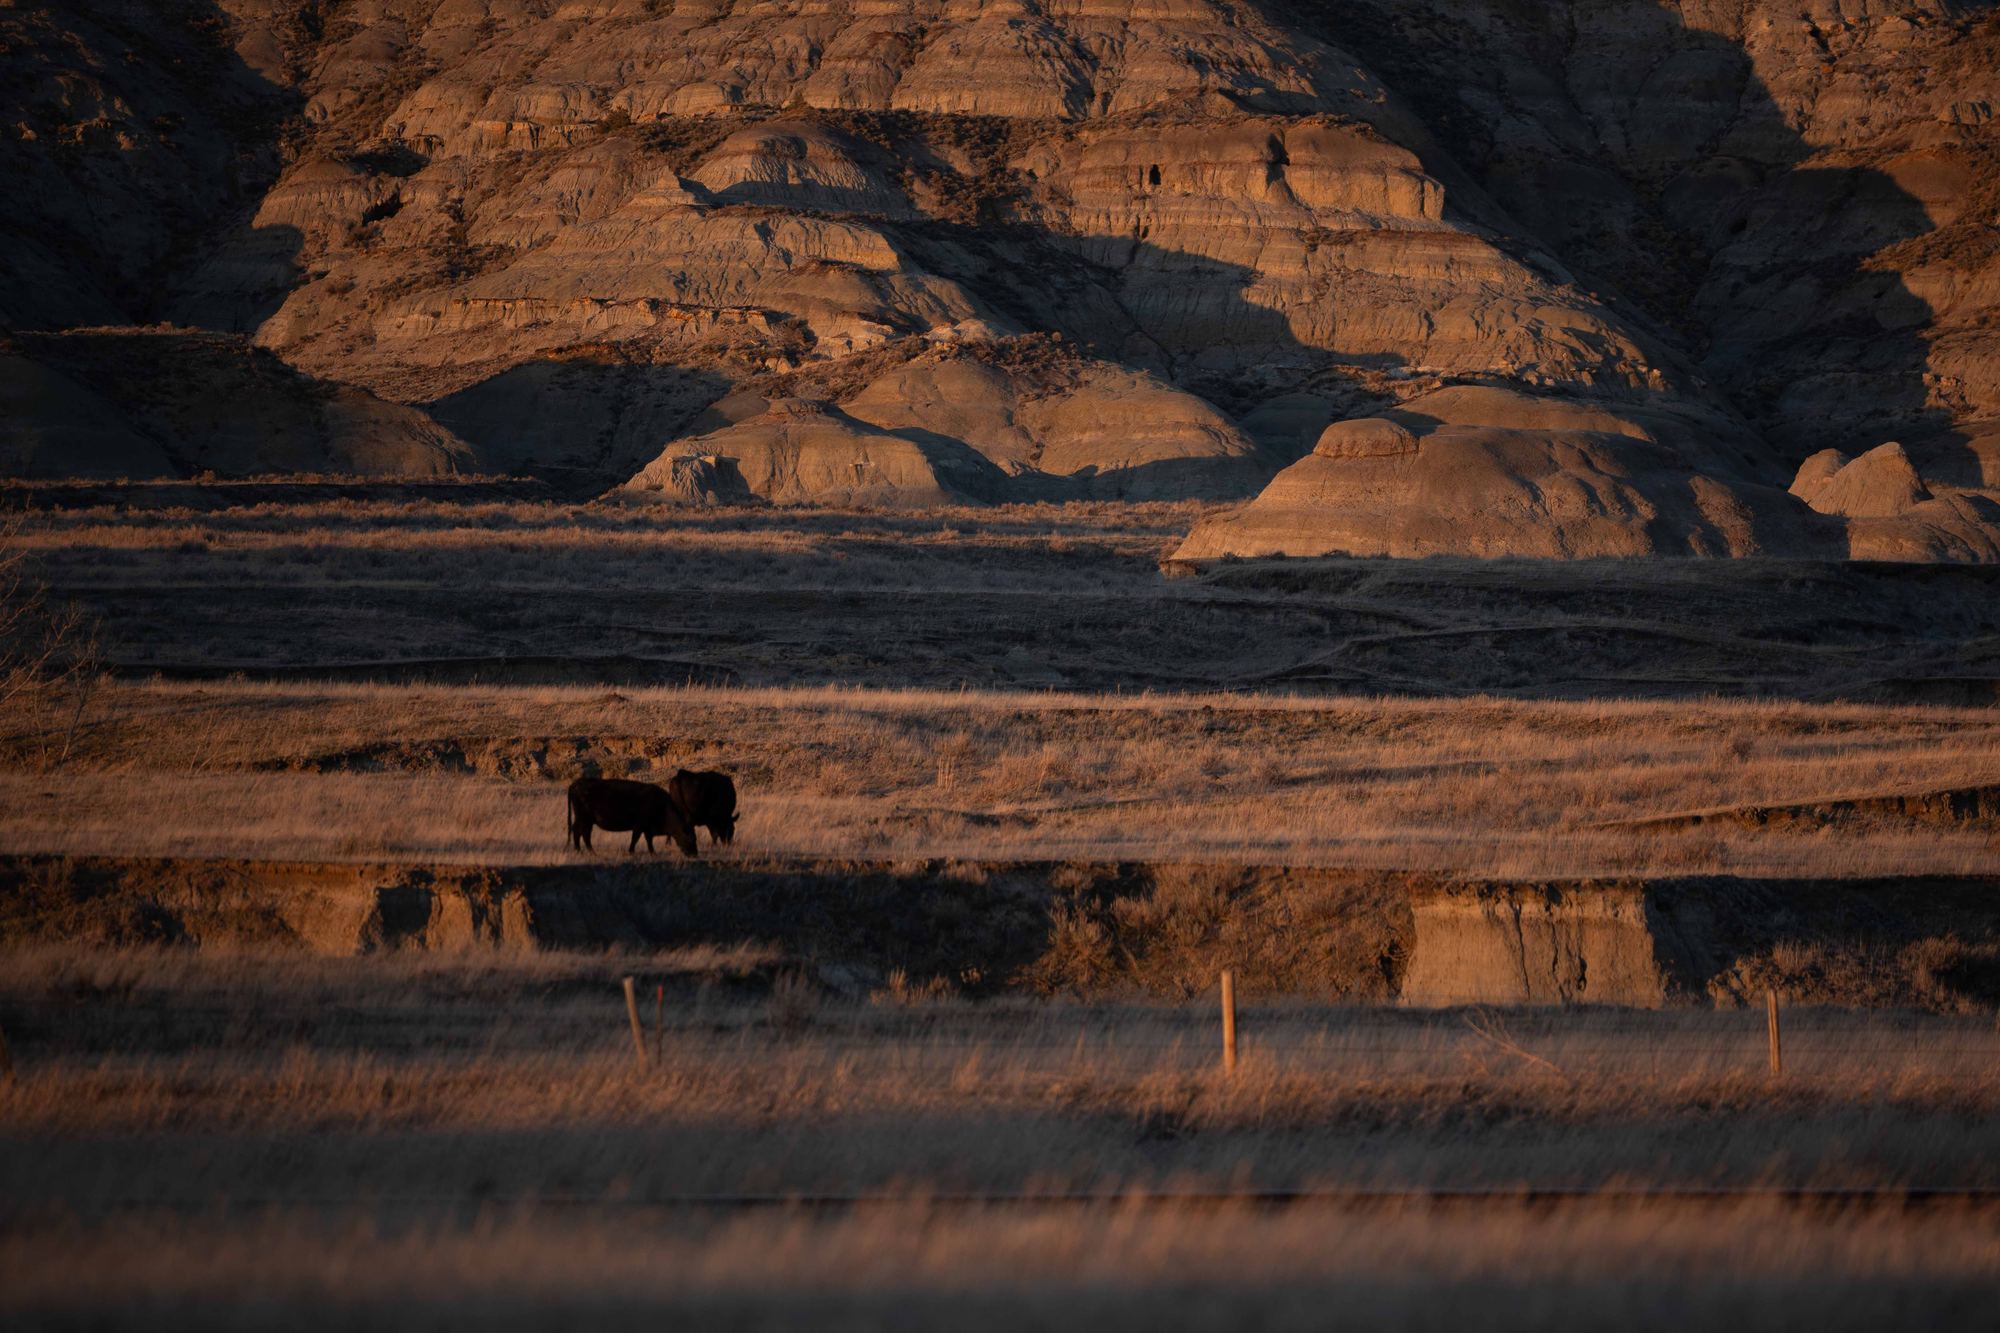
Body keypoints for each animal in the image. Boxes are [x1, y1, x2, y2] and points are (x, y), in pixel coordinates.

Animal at [566, 777, 697, 856]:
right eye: (691, 838)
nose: (695, 854)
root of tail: (576, 783)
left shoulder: (647, 828)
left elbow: (648, 840)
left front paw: (653, 853)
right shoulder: (639, 825)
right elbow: (635, 838)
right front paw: (631, 852)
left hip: (585, 820)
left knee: (580, 832)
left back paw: (583, 851)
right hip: (584, 819)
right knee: (581, 833)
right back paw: (586, 851)